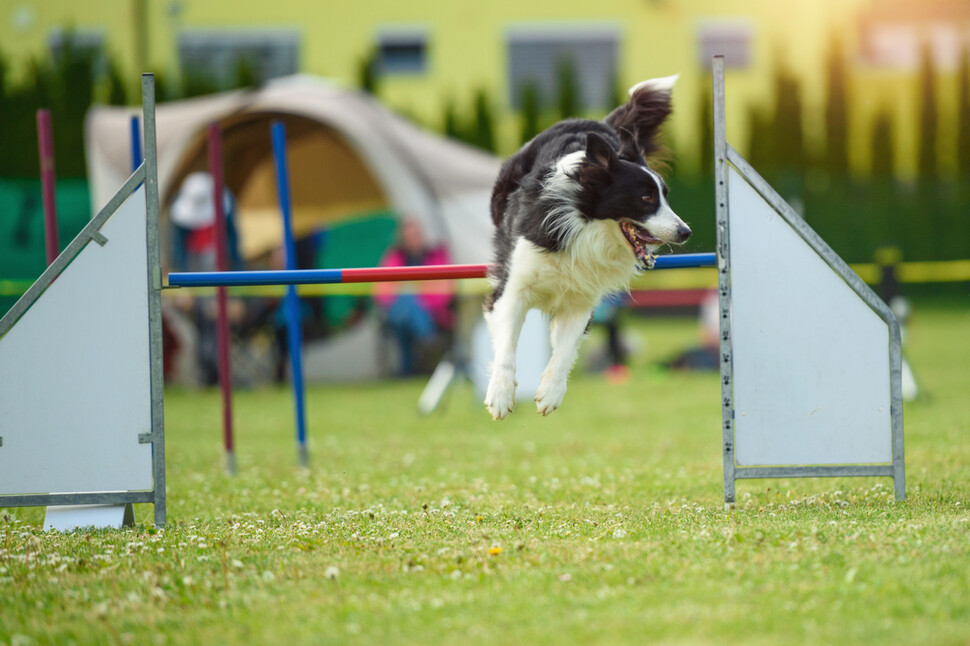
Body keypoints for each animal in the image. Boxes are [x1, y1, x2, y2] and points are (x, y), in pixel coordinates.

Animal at [484, 74, 688, 420]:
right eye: (646, 197)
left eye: (665, 195)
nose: (685, 232)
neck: (587, 225)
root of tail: (594, 121)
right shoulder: (514, 285)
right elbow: (507, 344)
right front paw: (500, 395)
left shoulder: (582, 297)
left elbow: (566, 349)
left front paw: (550, 394)